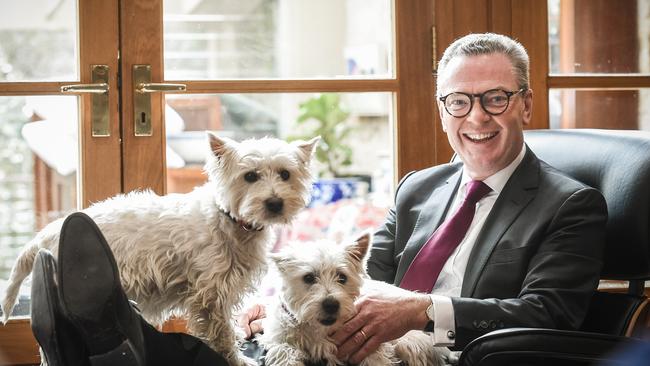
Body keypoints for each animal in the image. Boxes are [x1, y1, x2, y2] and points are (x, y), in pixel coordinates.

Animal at [0, 132, 318, 366]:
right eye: (250, 176)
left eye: (285, 174)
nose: (274, 203)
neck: (229, 219)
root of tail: (46, 235)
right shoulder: (211, 296)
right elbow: (223, 334)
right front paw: (236, 359)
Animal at [256, 233, 448, 366]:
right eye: (308, 278)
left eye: (342, 277)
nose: (331, 305)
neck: (320, 329)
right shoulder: (278, 339)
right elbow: (284, 351)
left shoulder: (371, 347)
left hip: (410, 343)